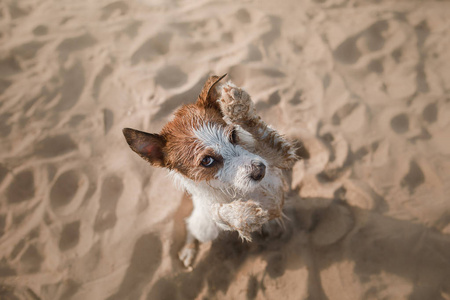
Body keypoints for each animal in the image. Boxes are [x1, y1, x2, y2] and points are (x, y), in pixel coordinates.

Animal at [123, 75, 298, 268]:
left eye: (233, 135)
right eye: (207, 161)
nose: (260, 171)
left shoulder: (283, 157)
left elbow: (262, 134)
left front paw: (237, 105)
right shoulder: (210, 206)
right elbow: (216, 210)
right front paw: (242, 215)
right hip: (205, 229)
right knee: (191, 225)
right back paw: (189, 249)